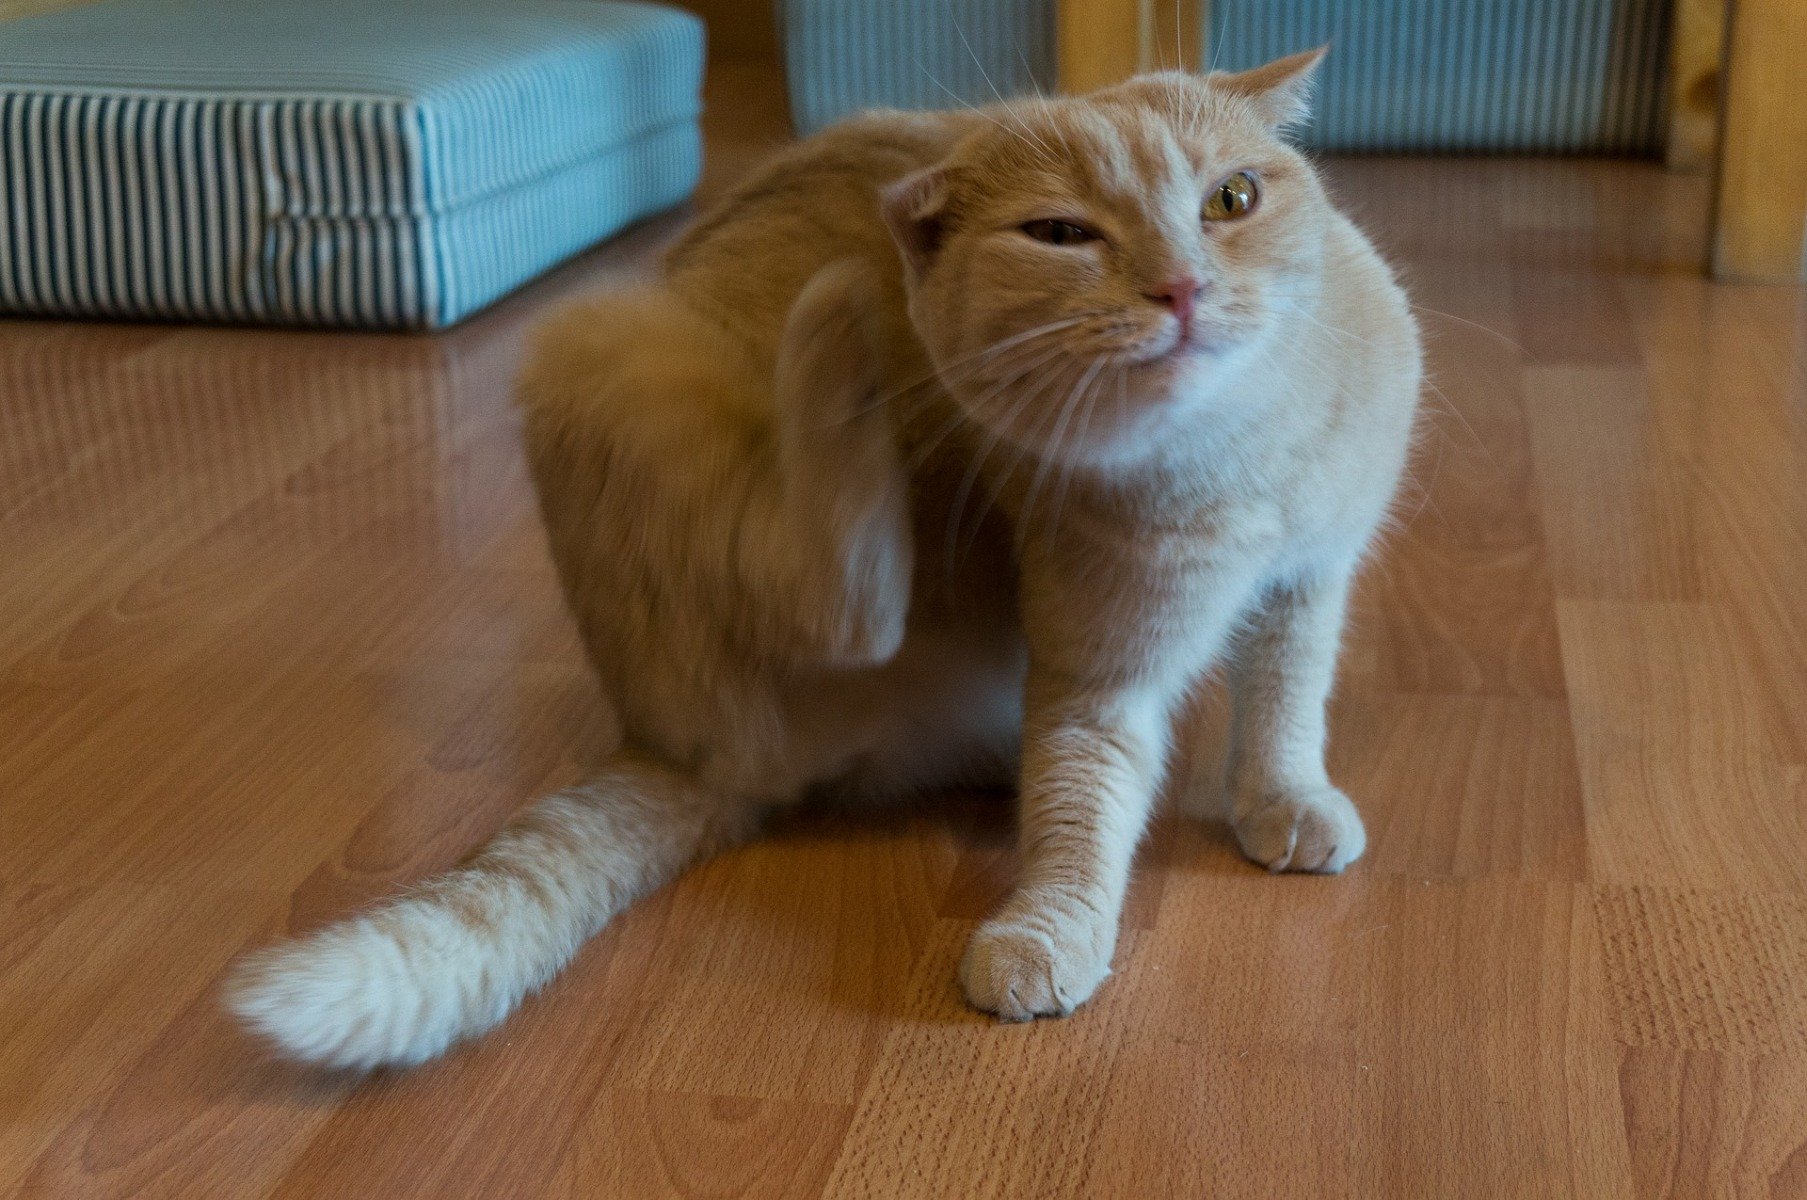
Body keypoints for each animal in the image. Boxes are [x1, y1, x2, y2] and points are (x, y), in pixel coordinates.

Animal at [225, 49, 1416, 1069]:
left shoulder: (1308, 581)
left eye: (1233, 200)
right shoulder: (1097, 669)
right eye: (1060, 232)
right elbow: (1081, 806)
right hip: (606, 352)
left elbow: (1283, 704)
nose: (1179, 287)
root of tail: (676, 749)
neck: (1234, 462)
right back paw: (840, 341)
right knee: (848, 602)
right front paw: (1048, 930)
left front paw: (1282, 800)